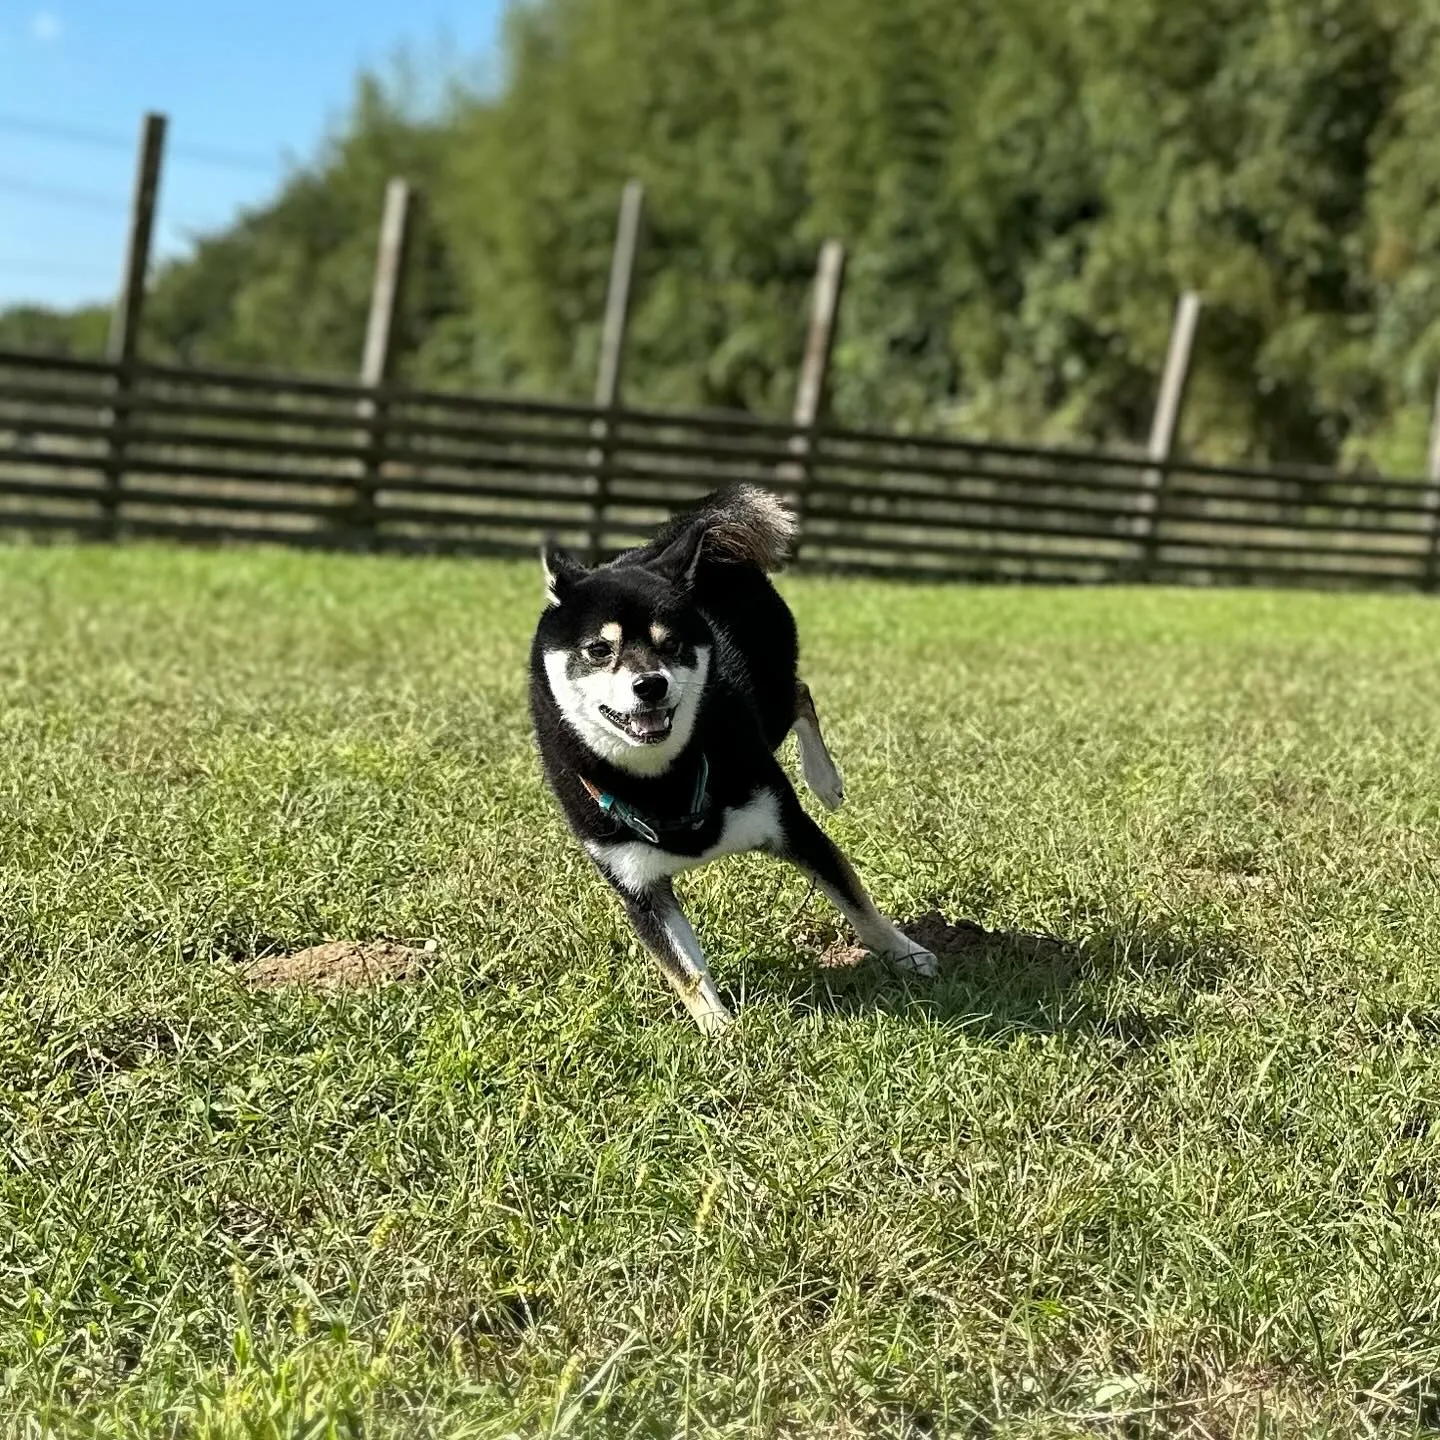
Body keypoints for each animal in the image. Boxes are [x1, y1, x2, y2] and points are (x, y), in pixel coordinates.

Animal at [529, 486, 933, 1036]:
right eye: (598, 649)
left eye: (672, 643)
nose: (650, 684)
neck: (663, 780)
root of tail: (662, 545)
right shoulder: (637, 886)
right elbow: (685, 971)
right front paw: (718, 1032)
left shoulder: (790, 826)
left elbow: (860, 907)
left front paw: (906, 953)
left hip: (770, 693)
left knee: (801, 694)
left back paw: (824, 779)